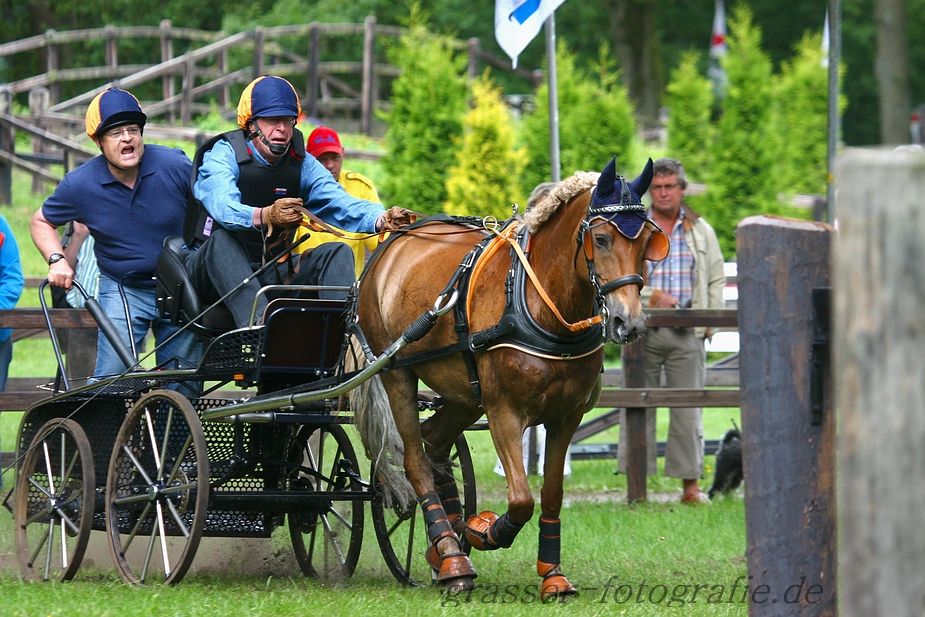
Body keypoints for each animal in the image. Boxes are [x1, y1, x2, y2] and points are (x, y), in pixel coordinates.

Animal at [352, 158, 664, 596]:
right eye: (601, 239)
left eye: (648, 241)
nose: (628, 322)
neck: (543, 304)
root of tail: (391, 241)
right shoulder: (504, 412)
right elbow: (520, 498)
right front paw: (485, 531)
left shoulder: (566, 416)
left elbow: (551, 493)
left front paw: (552, 573)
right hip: (398, 376)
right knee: (417, 461)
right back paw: (453, 558)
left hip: (465, 393)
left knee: (435, 445)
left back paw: (444, 545)